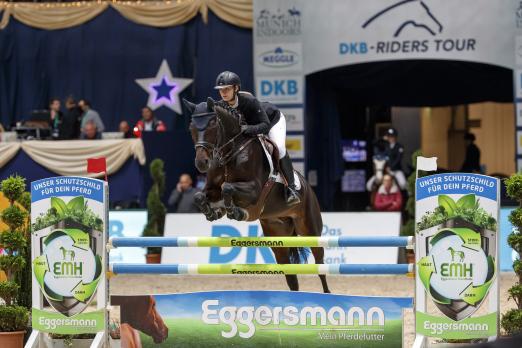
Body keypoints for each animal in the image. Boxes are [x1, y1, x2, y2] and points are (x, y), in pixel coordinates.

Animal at [184, 98, 330, 294]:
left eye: (213, 124)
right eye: (191, 127)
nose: (201, 163)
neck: (229, 153)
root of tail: (307, 186)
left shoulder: (254, 190)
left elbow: (227, 187)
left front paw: (235, 211)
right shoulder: (211, 190)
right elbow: (200, 196)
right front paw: (214, 212)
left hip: (310, 229)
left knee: (320, 264)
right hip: (278, 237)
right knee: (291, 276)